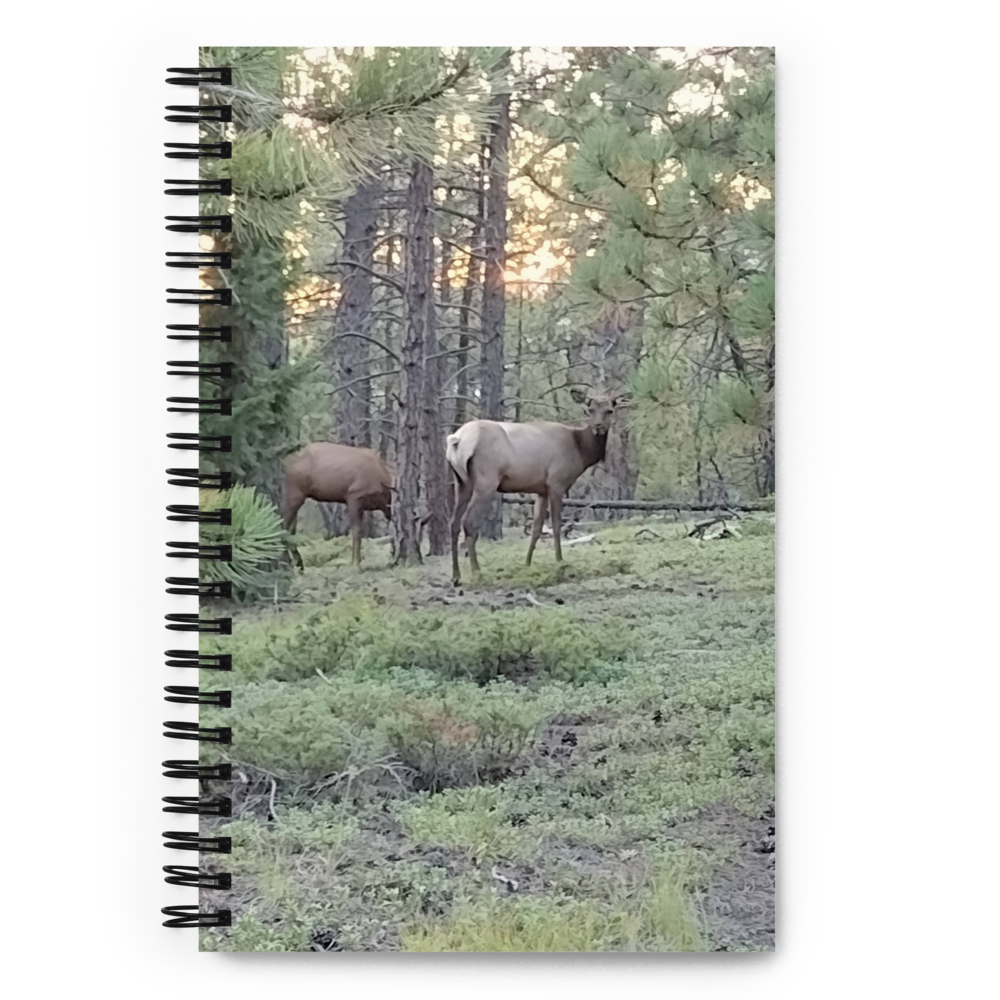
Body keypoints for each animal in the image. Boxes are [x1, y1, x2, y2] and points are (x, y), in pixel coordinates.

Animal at [445, 389, 631, 586]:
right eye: (590, 409)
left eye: (610, 410)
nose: (598, 427)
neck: (581, 451)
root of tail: (457, 440)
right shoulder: (557, 482)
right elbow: (556, 525)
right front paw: (560, 562)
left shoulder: (540, 490)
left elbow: (536, 528)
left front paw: (527, 564)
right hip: (486, 480)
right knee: (468, 522)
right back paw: (477, 573)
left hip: (462, 482)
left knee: (454, 522)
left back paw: (456, 576)